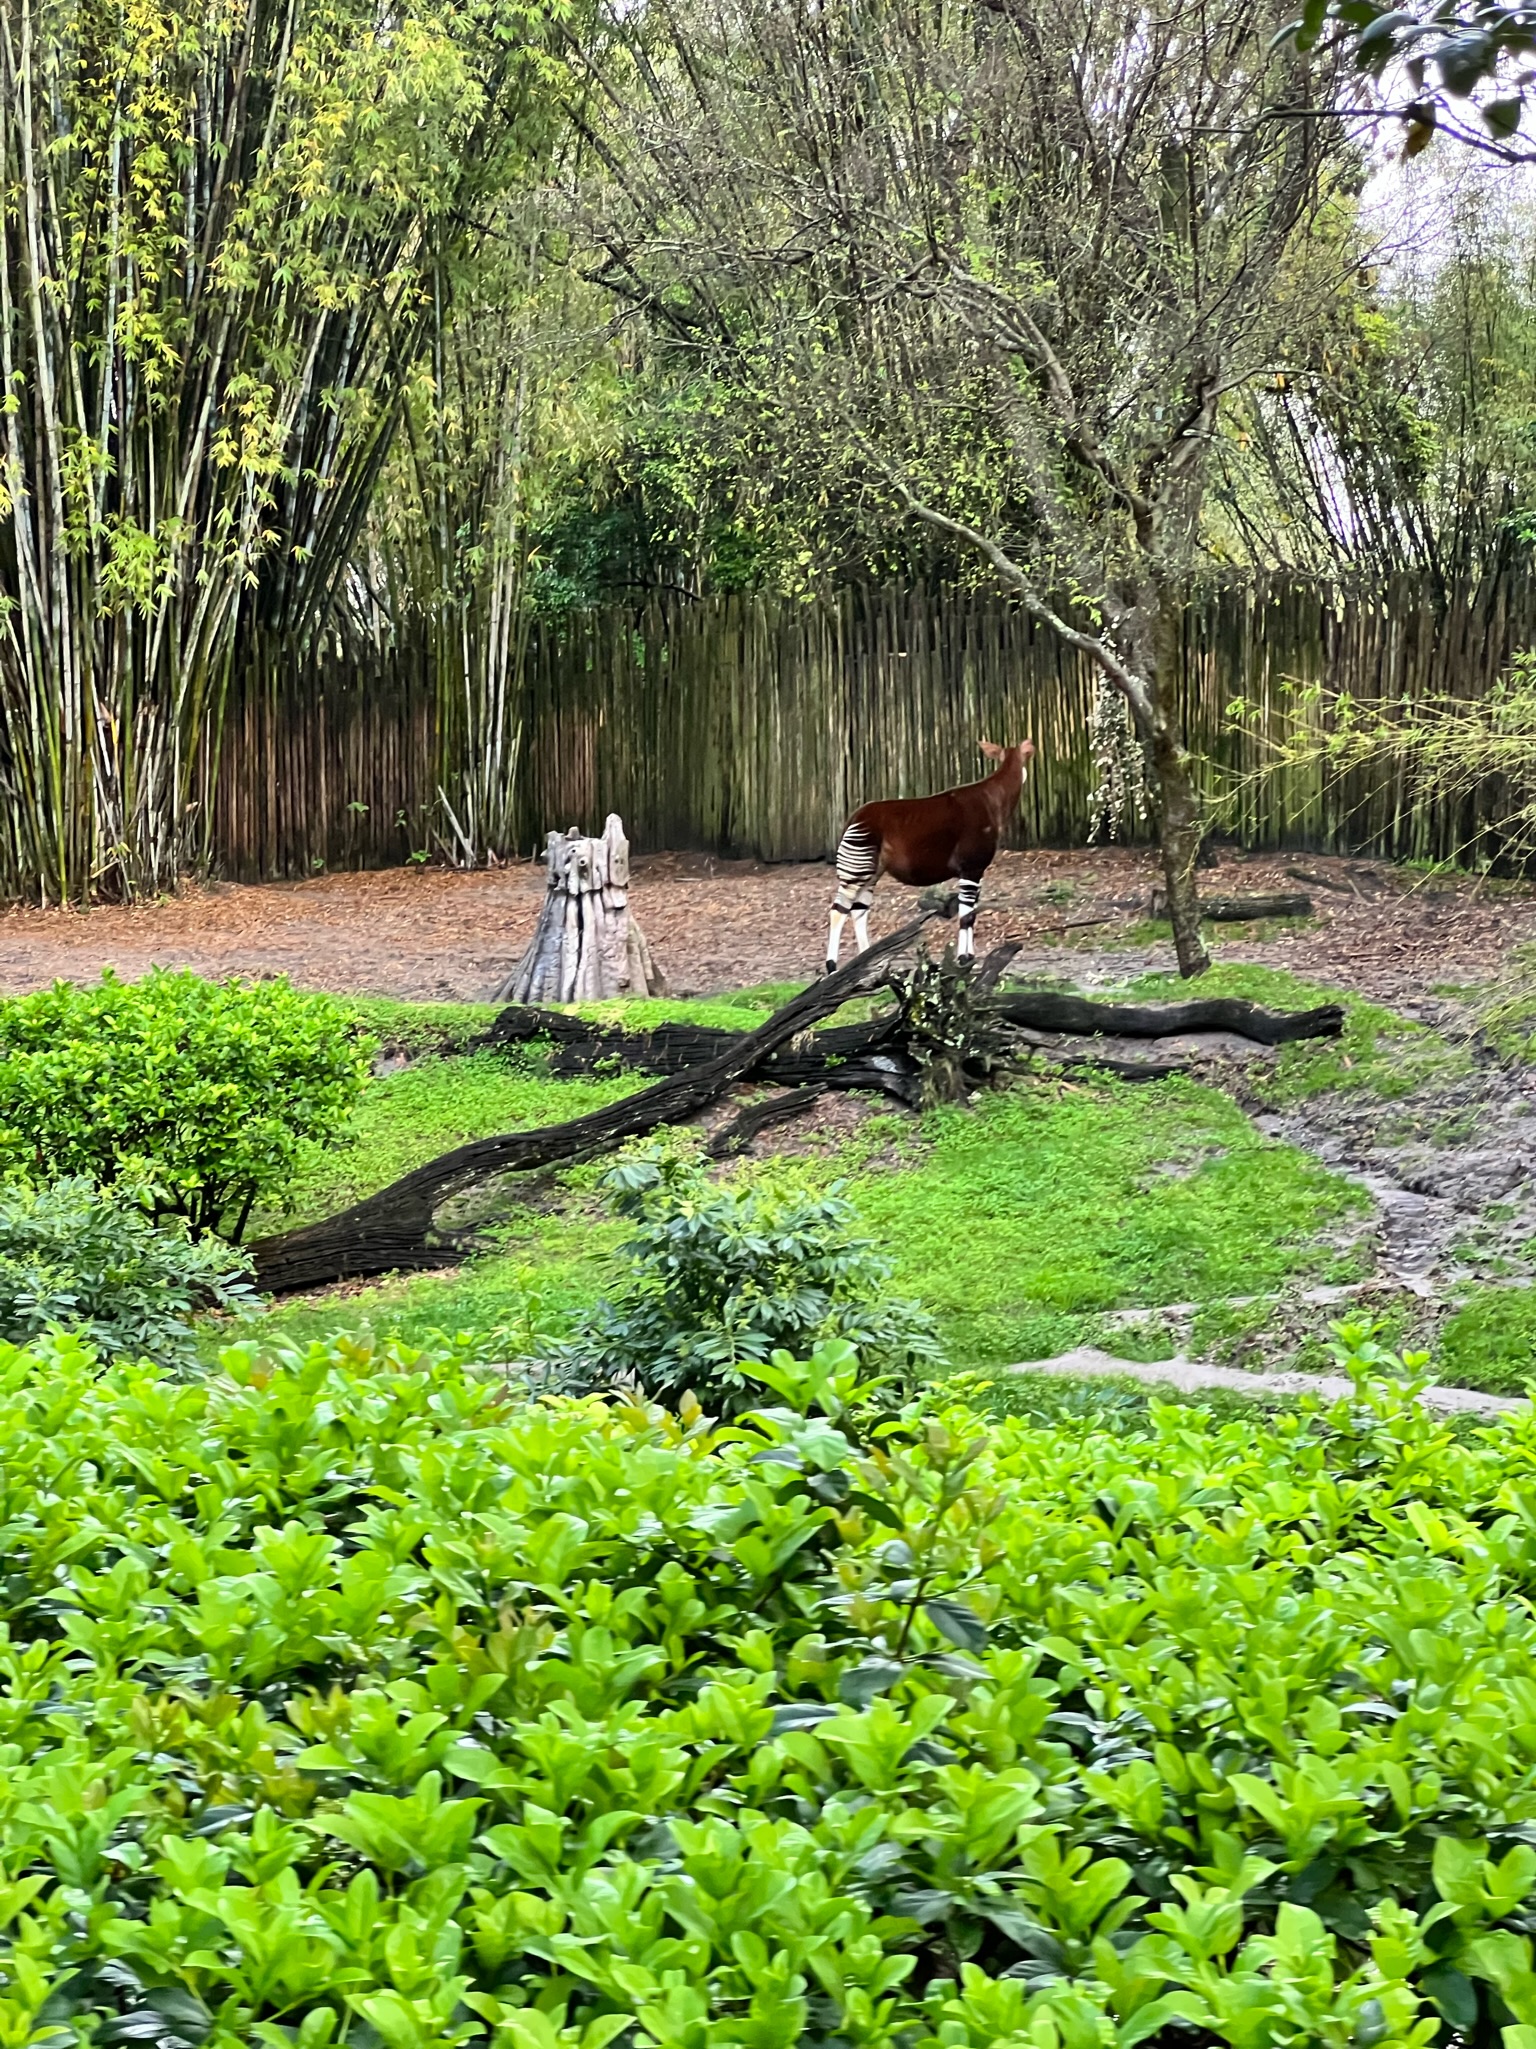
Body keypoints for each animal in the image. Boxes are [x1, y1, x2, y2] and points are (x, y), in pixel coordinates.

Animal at [824, 740, 1035, 972]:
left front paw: (970, 957)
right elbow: (966, 915)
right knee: (838, 910)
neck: (994, 798)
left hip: (871, 871)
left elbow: (971, 913)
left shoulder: (977, 870)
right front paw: (963, 959)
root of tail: (853, 818)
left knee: (859, 911)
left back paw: (865, 960)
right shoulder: (971, 867)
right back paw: (832, 966)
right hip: (858, 869)